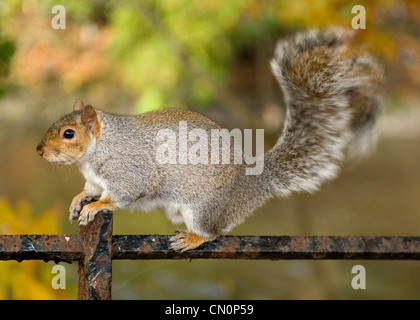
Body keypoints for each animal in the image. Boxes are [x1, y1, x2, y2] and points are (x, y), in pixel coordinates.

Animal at [37, 28, 380, 251]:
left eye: (69, 134)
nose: (40, 150)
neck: (99, 150)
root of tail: (252, 185)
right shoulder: (95, 177)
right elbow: (90, 189)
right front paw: (79, 200)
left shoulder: (128, 171)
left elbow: (121, 195)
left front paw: (97, 206)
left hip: (204, 207)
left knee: (213, 232)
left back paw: (191, 238)